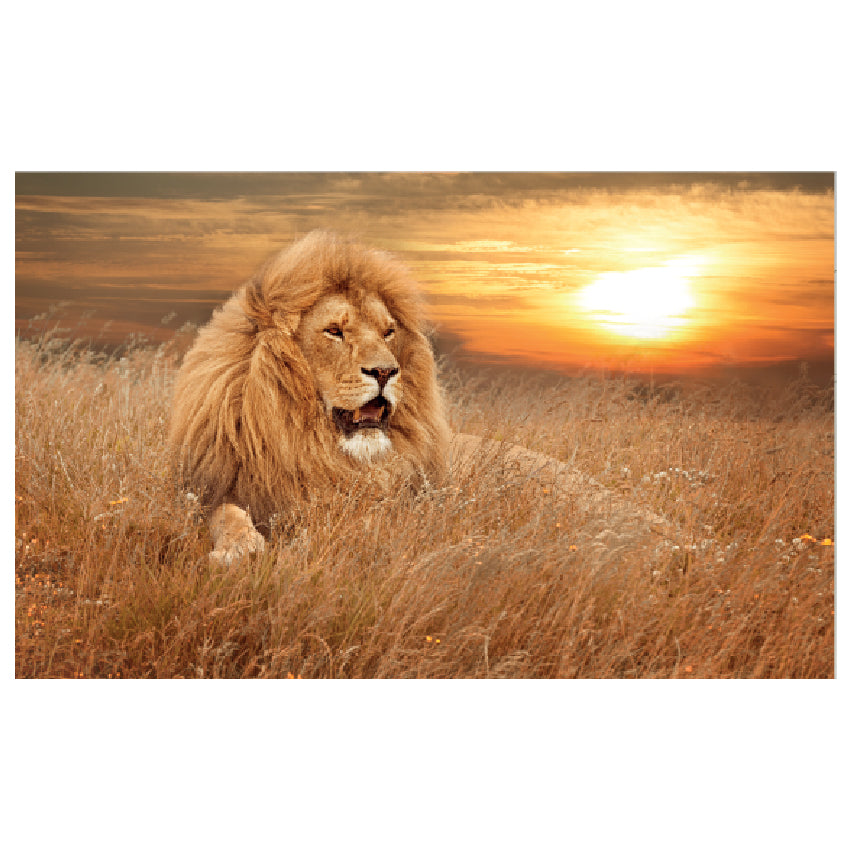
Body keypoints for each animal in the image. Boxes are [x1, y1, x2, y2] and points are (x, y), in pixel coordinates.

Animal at [169, 231, 451, 564]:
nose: (385, 371)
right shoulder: (209, 489)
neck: (309, 443)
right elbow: (227, 513)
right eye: (334, 331)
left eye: (388, 332)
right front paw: (239, 548)